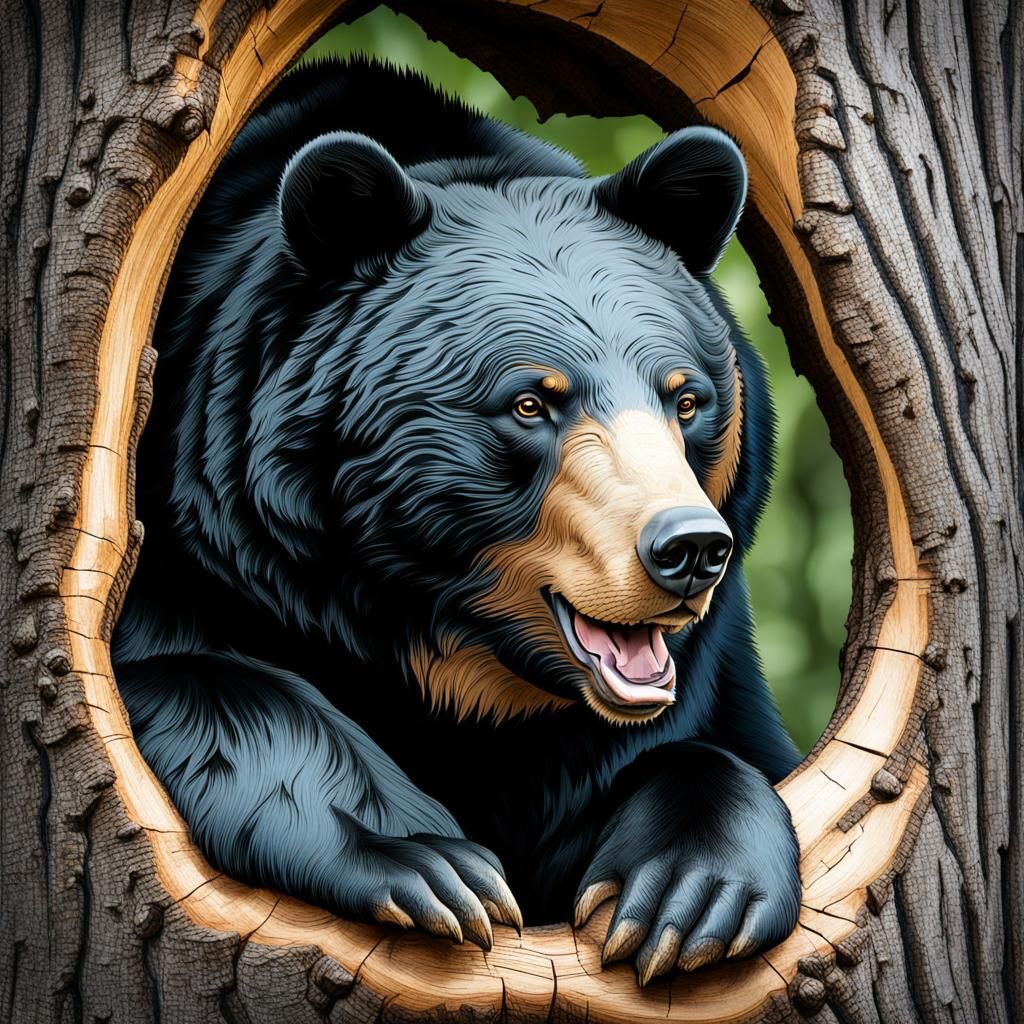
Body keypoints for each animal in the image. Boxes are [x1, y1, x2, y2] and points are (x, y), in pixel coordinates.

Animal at [112, 56, 803, 985]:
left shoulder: (698, 681)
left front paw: (686, 895)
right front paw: (434, 864)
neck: (464, 673)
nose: (691, 549)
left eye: (685, 400)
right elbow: (198, 684)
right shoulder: (196, 551)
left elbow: (715, 755)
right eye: (530, 403)